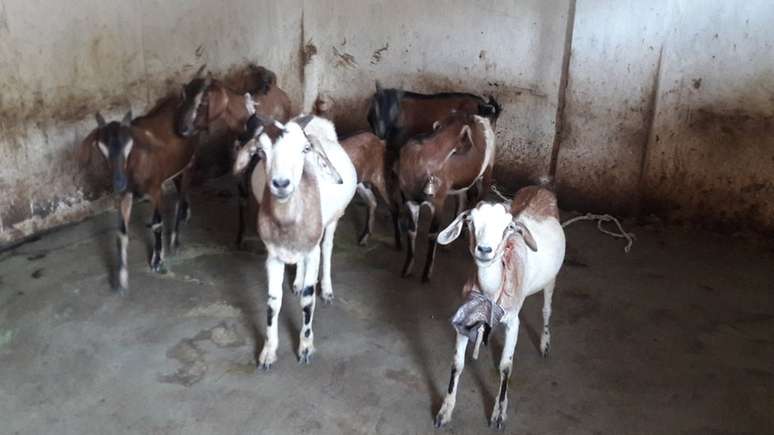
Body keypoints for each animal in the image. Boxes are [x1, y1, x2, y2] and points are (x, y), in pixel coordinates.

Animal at [176, 67, 291, 246]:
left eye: (202, 102)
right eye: (184, 97)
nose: (182, 129)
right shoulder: (236, 161)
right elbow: (242, 196)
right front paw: (239, 237)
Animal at [233, 113, 357, 368]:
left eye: (305, 148)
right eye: (261, 151)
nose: (281, 184)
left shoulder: (312, 251)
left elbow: (308, 301)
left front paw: (305, 348)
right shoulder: (273, 256)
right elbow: (273, 302)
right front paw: (268, 352)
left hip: (332, 221)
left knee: (327, 247)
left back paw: (326, 289)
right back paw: (298, 282)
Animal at [397, 111, 496, 281]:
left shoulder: (438, 201)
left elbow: (432, 234)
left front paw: (426, 274)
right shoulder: (409, 199)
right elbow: (412, 230)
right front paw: (407, 269)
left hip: (487, 172)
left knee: (479, 197)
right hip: (459, 186)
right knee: (461, 203)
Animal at [432, 186, 566, 429]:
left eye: (507, 227)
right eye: (470, 222)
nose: (485, 249)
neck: (490, 292)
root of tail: (541, 188)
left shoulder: (513, 321)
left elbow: (506, 366)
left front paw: (498, 415)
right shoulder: (465, 317)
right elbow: (457, 363)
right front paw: (444, 411)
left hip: (551, 279)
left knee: (546, 310)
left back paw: (545, 343)